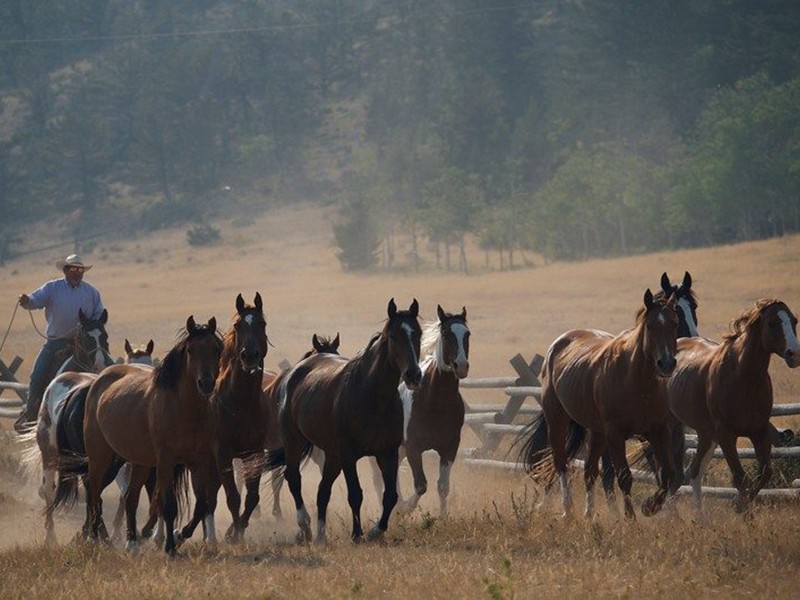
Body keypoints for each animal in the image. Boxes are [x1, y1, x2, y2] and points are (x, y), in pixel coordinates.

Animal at [77, 316, 223, 556]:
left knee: (130, 497)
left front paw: (179, 535)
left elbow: (201, 504)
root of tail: (99, 380)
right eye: (191, 350)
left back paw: (132, 543)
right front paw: (170, 547)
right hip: (102, 457)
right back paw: (95, 538)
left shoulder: (198, 461)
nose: (206, 383)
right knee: (94, 491)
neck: (183, 408)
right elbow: (168, 505)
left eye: (217, 349)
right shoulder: (166, 461)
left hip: (138, 462)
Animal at [266, 300, 422, 544]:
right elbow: (355, 494)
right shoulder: (349, 454)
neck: (372, 396)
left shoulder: (387, 452)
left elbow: (390, 495)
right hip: (295, 442)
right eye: (393, 336)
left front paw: (376, 531)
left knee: (323, 490)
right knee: (293, 479)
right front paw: (357, 534)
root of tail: (292, 374)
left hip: (332, 455)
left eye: (418, 333)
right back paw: (305, 526)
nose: (413, 375)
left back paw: (321, 535)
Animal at [516, 290, 680, 520]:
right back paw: (568, 510)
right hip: (557, 420)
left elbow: (667, 474)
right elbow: (624, 476)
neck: (635, 380)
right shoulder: (615, 434)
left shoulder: (659, 432)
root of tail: (558, 344)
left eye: (674, 324)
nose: (666, 363)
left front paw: (650, 506)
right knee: (561, 462)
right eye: (650, 326)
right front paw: (630, 518)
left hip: (596, 431)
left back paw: (589, 514)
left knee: (590, 470)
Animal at [668, 298, 800, 512]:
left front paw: (738, 505)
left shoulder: (759, 431)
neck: (741, 377)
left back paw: (697, 517)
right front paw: (743, 510)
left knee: (694, 472)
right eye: (772, 323)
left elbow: (765, 473)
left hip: (706, 434)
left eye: (794, 321)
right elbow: (740, 478)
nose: (794, 354)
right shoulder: (726, 435)